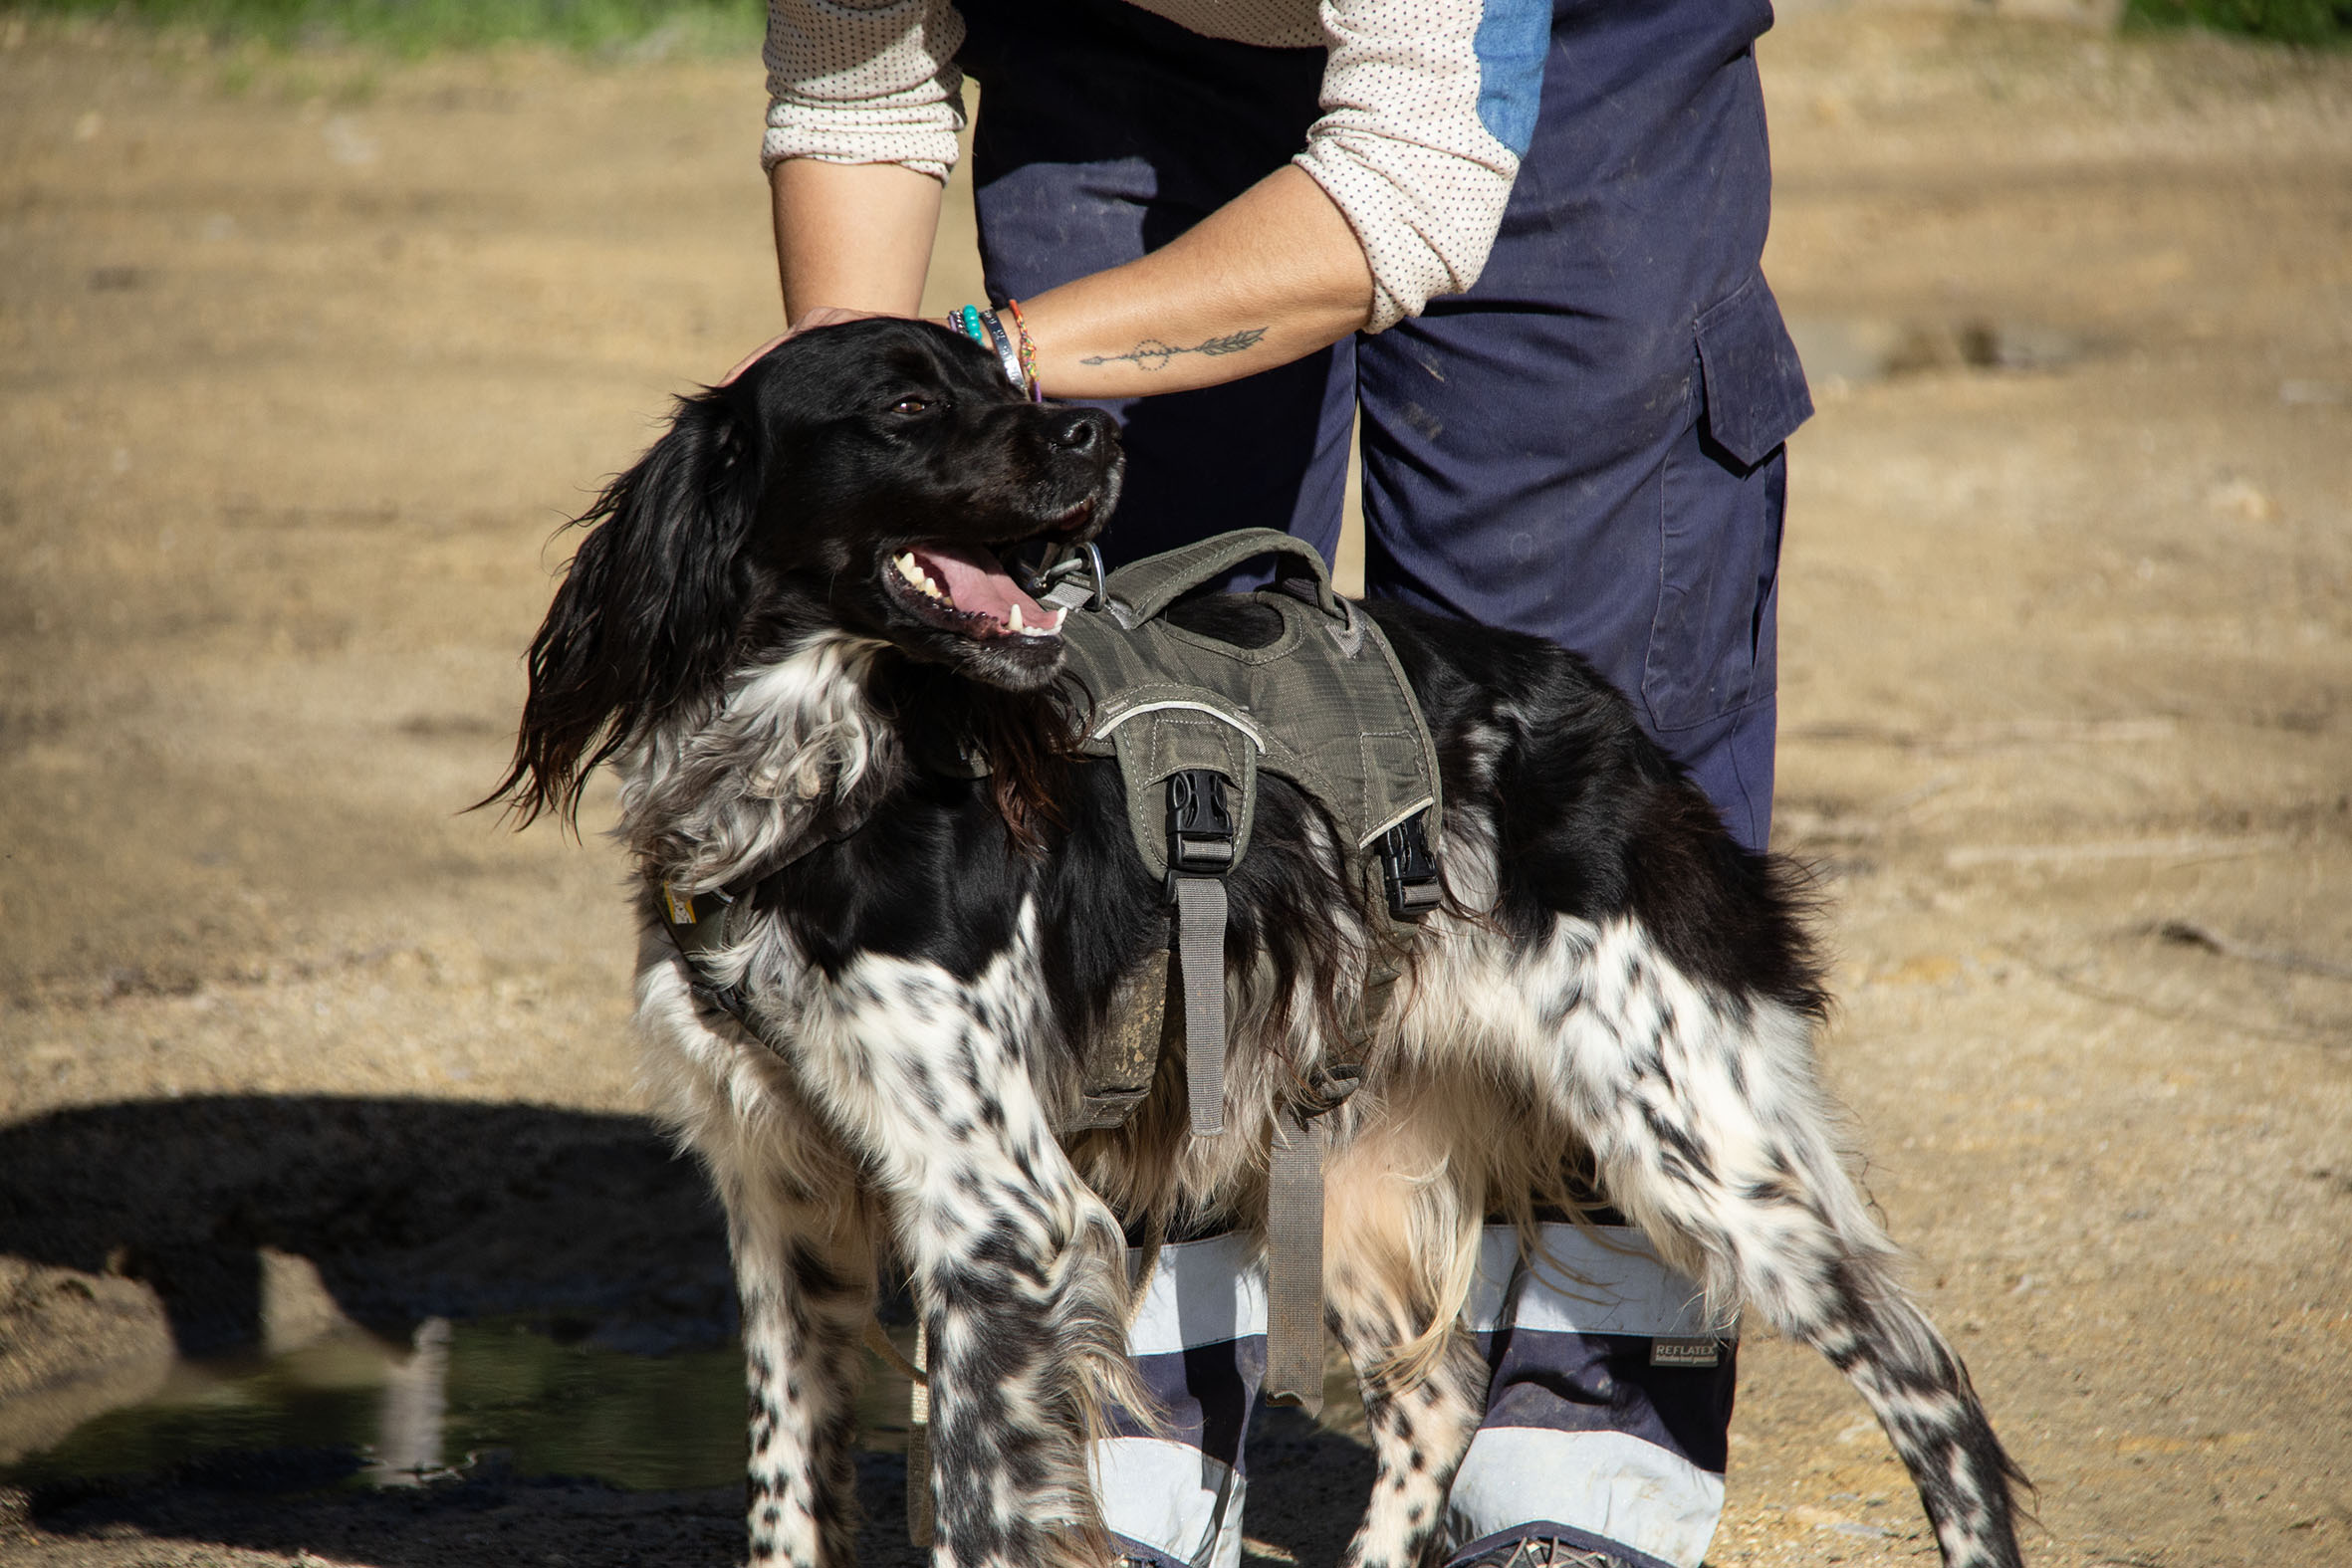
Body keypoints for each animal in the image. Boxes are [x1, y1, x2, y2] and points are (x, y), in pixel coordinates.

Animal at [488, 317, 2026, 1568]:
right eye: (909, 404)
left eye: (1006, 382)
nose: (1098, 430)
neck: (819, 776)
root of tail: (1607, 719)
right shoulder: (781, 1202)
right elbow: (785, 1500)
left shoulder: (994, 1209)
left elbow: (983, 1506)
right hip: (1364, 1146)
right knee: (1436, 1396)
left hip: (1684, 1138)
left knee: (1926, 1373)